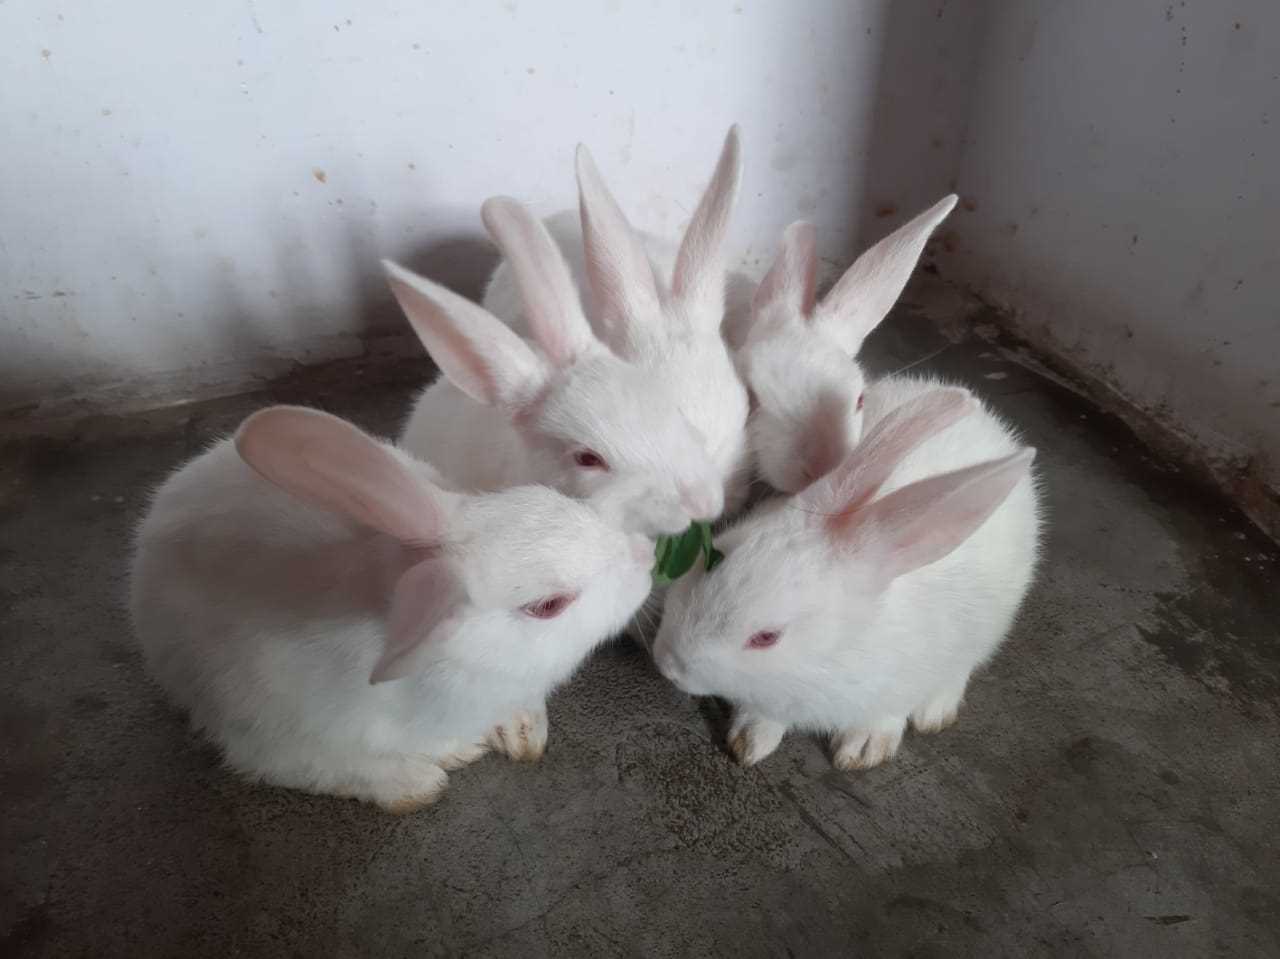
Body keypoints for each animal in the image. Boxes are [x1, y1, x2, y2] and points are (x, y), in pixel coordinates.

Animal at [129, 405, 653, 811]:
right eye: (547, 606)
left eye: (549, 499)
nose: (646, 556)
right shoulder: (271, 741)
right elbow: (336, 770)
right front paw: (422, 779)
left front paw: (519, 731)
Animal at [652, 384, 1041, 771]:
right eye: (715, 557)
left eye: (766, 638)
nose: (667, 664)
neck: (828, 653)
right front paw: (750, 741)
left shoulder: (904, 683)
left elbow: (886, 715)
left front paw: (864, 749)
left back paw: (935, 711)